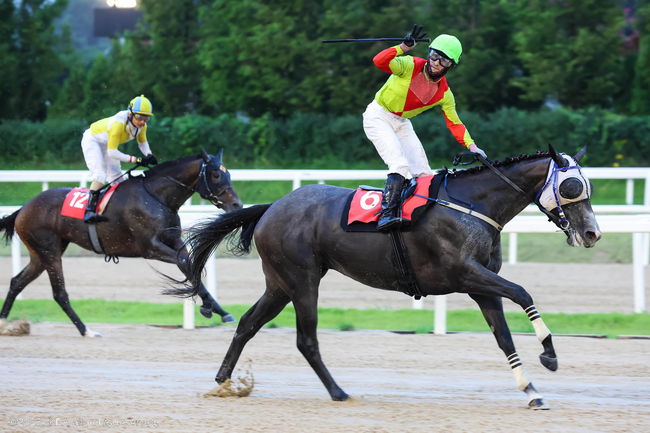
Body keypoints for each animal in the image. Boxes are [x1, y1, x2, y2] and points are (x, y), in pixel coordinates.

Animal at [0, 149, 240, 338]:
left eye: (228, 173)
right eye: (216, 174)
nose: (237, 205)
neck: (157, 197)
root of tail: (23, 208)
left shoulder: (173, 239)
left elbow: (188, 261)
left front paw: (218, 309)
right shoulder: (149, 247)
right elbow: (184, 262)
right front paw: (208, 307)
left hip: (41, 253)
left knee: (17, 281)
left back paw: (3, 322)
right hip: (49, 251)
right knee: (59, 293)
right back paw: (87, 331)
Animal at [180, 145, 600, 408]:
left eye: (588, 187)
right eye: (571, 186)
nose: (592, 233)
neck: (470, 205)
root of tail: (271, 207)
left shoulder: (481, 285)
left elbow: (504, 337)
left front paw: (531, 390)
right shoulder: (465, 275)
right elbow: (523, 292)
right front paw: (549, 355)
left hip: (280, 283)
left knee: (248, 323)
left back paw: (223, 380)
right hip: (302, 280)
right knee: (306, 340)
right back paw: (338, 392)